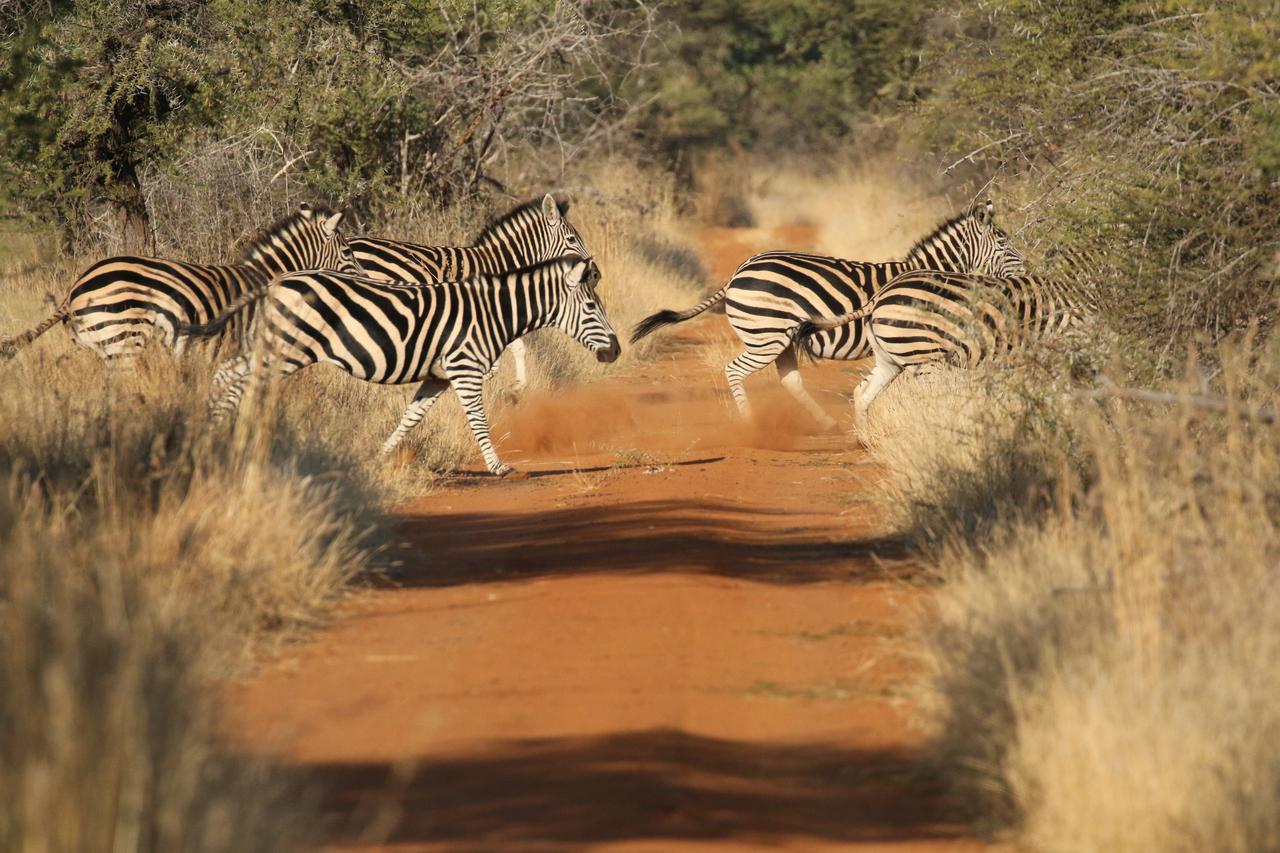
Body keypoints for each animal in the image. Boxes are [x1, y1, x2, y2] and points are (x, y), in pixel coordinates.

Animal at [1, 204, 360, 361]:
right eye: (347, 252)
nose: (367, 277)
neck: (266, 278)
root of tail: (75, 286)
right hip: (123, 340)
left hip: (98, 344)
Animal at [180, 256, 619, 473]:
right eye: (591, 307)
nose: (615, 351)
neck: (492, 313)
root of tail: (277, 282)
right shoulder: (464, 368)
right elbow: (478, 420)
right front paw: (497, 466)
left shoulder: (437, 377)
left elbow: (411, 418)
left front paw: (376, 458)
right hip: (287, 349)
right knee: (240, 381)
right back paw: (229, 439)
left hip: (273, 344)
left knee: (227, 373)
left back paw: (210, 434)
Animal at [629, 201, 1029, 432]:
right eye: (1005, 244)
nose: (1027, 270)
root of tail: (738, 271)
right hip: (766, 336)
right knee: (734, 371)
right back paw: (750, 424)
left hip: (780, 341)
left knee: (790, 381)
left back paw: (825, 424)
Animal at [793, 270, 1095, 420]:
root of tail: (879, 295)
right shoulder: (1059, 352)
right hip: (925, 359)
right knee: (927, 406)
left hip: (889, 361)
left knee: (864, 395)